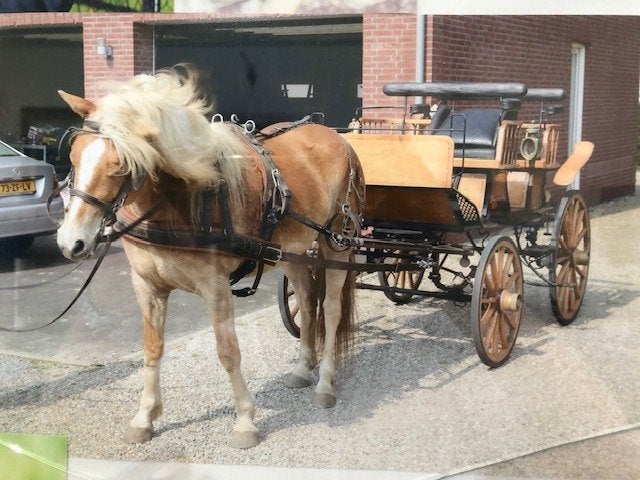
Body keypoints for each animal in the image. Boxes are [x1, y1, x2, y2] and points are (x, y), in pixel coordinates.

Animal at [56, 65, 365, 448]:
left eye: (120, 165)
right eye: (73, 156)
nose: (72, 242)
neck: (177, 202)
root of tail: (338, 138)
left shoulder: (215, 287)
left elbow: (228, 352)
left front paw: (244, 420)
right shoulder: (147, 285)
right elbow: (152, 348)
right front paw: (145, 416)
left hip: (336, 242)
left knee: (331, 311)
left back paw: (324, 382)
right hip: (293, 252)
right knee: (308, 303)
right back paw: (301, 369)